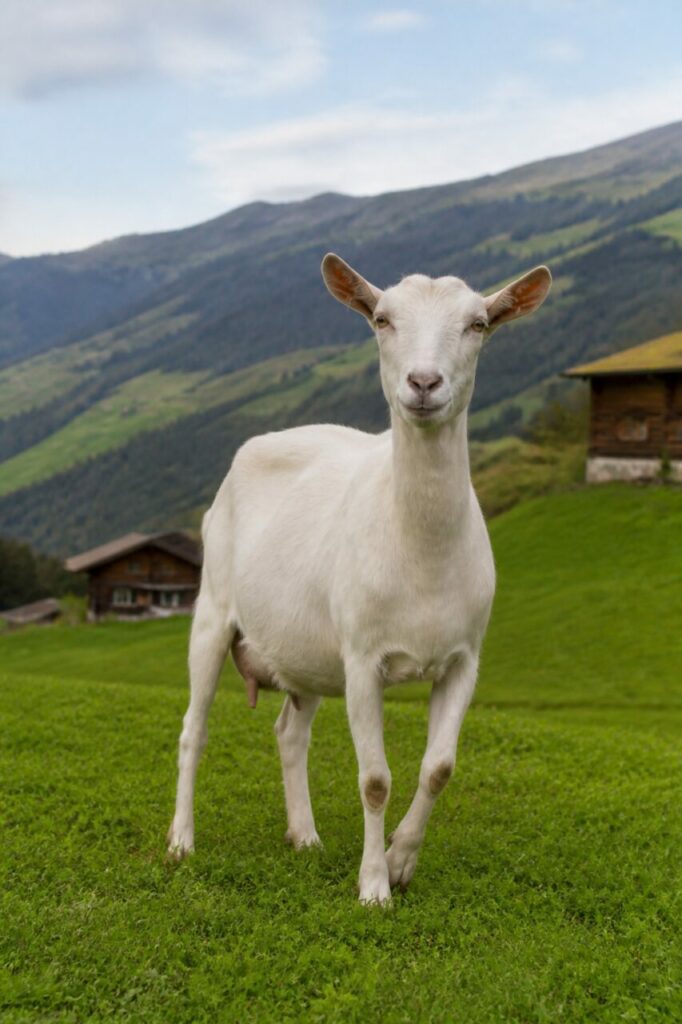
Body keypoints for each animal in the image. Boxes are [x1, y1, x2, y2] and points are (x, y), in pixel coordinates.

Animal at [168, 254, 551, 904]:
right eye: (381, 319)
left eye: (478, 324)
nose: (423, 383)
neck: (421, 552)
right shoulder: (362, 656)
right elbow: (374, 779)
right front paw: (373, 887)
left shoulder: (464, 658)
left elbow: (439, 768)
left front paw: (400, 861)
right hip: (213, 608)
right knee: (194, 728)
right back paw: (181, 842)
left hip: (304, 652)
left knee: (289, 732)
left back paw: (304, 836)